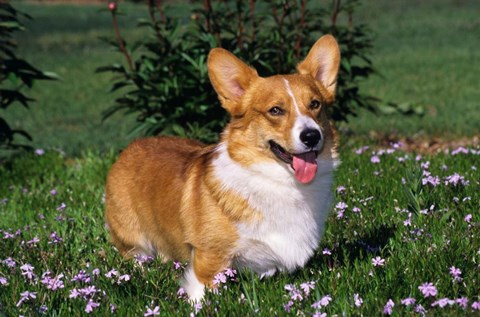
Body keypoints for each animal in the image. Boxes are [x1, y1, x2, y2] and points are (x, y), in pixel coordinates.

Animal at [104, 34, 340, 302]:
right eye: (275, 110)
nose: (311, 136)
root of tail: (131, 147)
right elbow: (202, 294)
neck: (282, 181)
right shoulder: (210, 260)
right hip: (133, 240)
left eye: (315, 104)